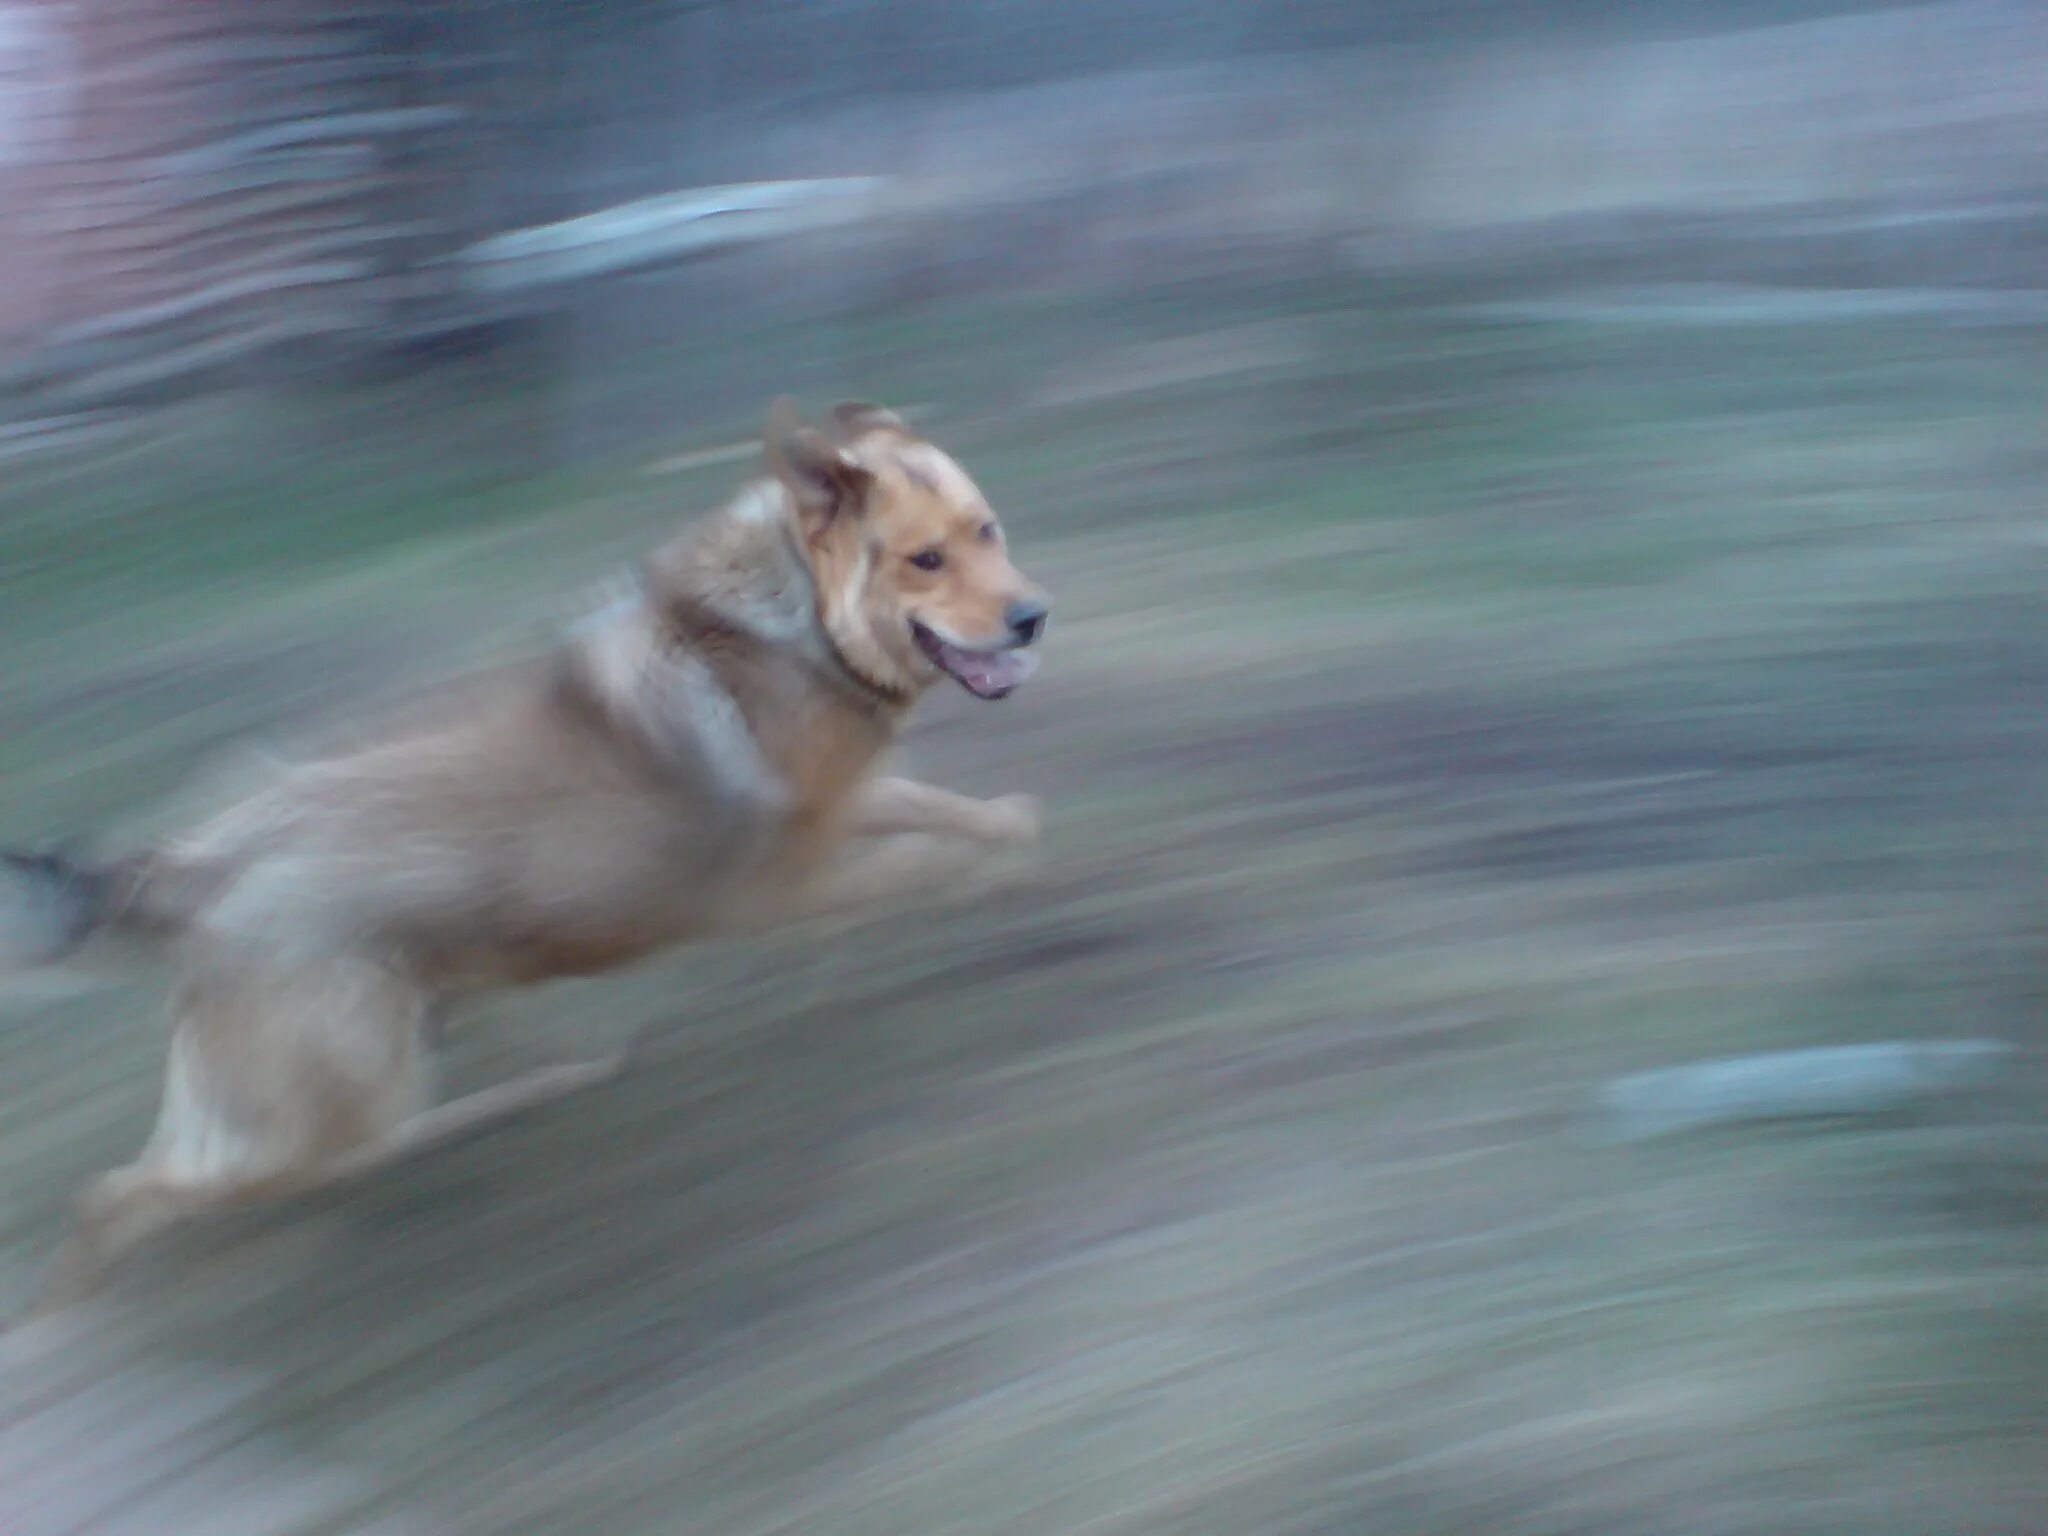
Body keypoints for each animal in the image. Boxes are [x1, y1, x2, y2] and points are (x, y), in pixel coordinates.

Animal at [0, 403, 1048, 1318]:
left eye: (988, 530)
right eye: (925, 559)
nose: (1034, 617)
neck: (790, 617)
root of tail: (186, 865)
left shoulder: (843, 811)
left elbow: (962, 815)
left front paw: (1010, 839)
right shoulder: (782, 885)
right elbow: (918, 864)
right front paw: (982, 883)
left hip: (366, 1060)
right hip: (328, 1098)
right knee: (133, 1192)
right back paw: (61, 1322)